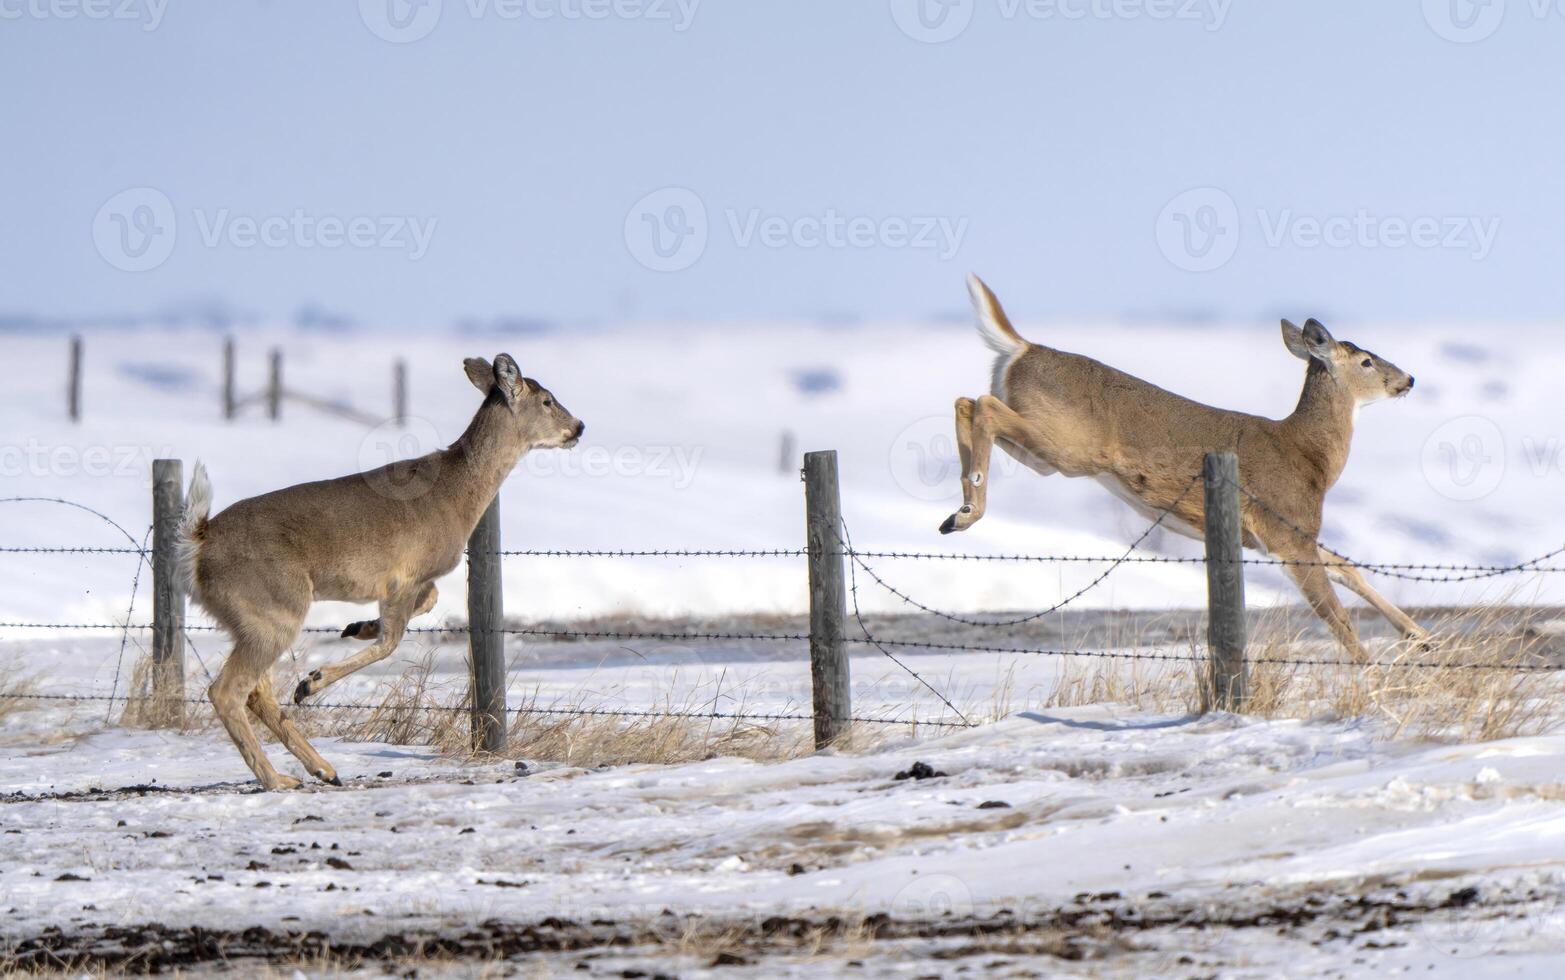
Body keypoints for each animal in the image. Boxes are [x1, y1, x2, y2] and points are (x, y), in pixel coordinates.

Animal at [177, 350, 582, 785]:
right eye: (547, 401)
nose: (578, 426)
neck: (459, 493)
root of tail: (198, 542)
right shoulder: (404, 574)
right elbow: (392, 640)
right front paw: (312, 681)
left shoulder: (414, 579)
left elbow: (428, 602)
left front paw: (357, 627)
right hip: (274, 606)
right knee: (227, 691)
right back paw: (279, 776)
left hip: (250, 618)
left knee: (256, 691)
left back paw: (321, 769)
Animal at [932, 275, 1427, 657]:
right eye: (1366, 361)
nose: (1409, 379)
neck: (1310, 457)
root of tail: (1024, 348)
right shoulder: (1286, 526)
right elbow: (1335, 613)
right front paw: (1370, 677)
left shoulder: (1281, 532)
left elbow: (1348, 568)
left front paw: (1420, 636)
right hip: (1069, 443)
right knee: (983, 405)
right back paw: (969, 507)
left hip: (1045, 450)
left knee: (966, 401)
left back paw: (957, 512)